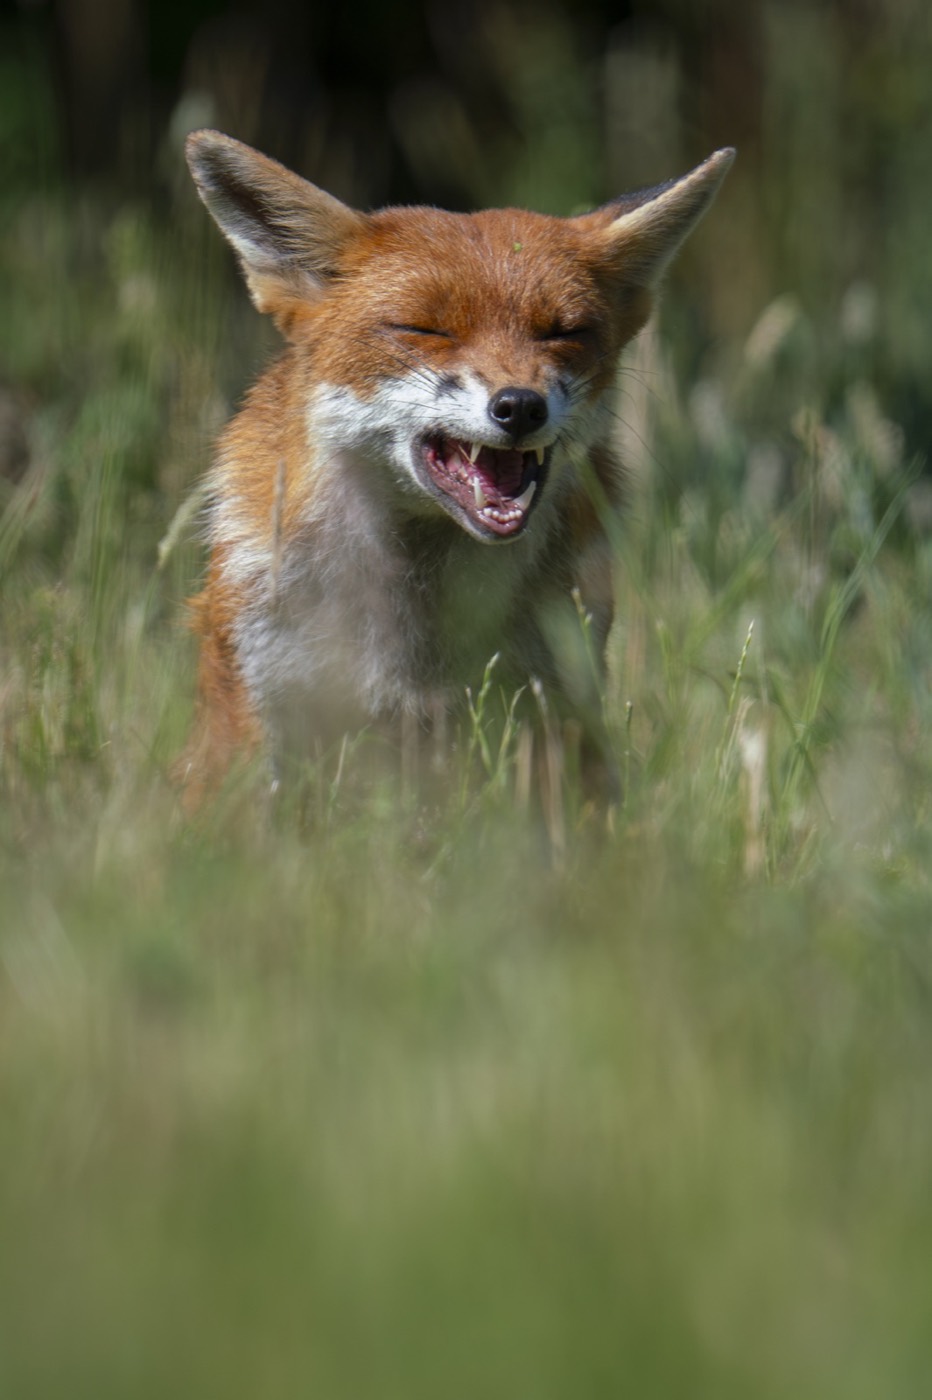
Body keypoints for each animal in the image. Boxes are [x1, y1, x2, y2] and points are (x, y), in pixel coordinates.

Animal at [180, 129, 733, 808]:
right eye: (426, 328)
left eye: (564, 333)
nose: (520, 406)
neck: (418, 627)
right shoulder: (262, 697)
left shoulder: (553, 696)